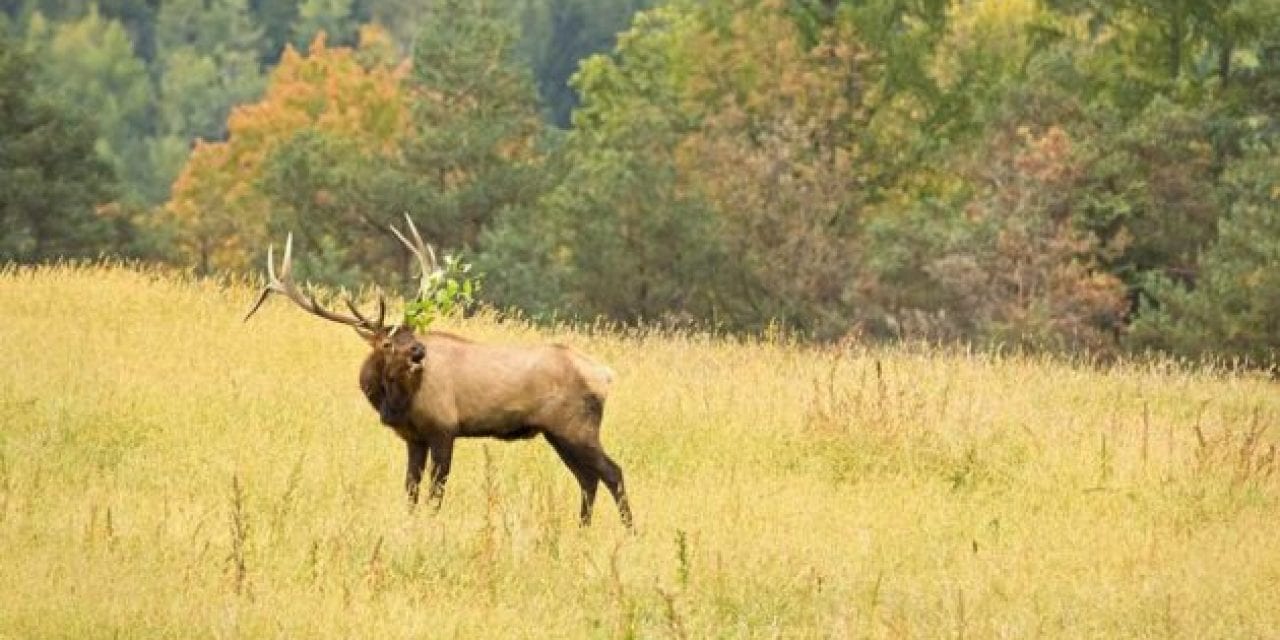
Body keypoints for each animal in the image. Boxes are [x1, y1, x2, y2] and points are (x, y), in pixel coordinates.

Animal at [240, 217, 634, 527]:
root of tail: (606, 374)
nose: (419, 351)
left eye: (412, 333)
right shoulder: (413, 437)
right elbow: (411, 490)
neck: (397, 403)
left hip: (575, 426)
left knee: (611, 473)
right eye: (388, 343)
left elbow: (436, 491)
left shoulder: (444, 427)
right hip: (558, 433)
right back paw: (582, 531)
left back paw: (629, 532)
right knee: (588, 479)